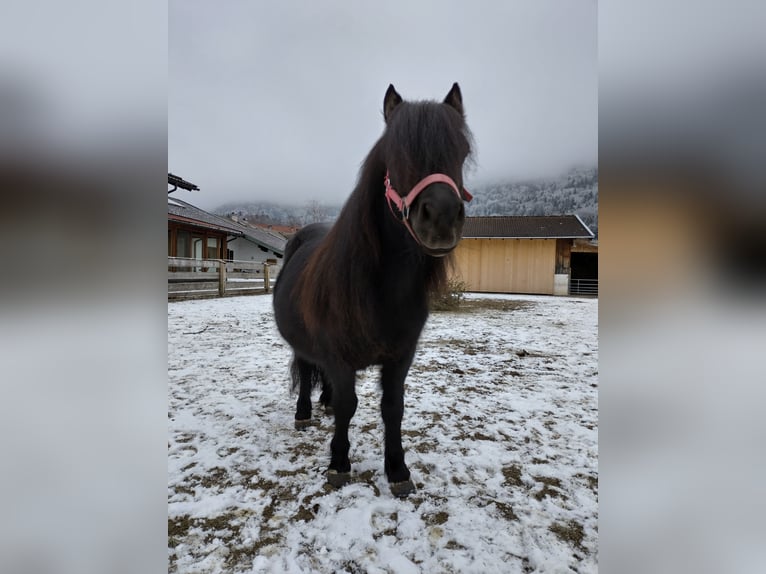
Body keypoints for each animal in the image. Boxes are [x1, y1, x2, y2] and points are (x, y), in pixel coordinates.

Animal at [272, 83, 472, 498]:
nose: (442, 219)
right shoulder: (339, 355)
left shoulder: (401, 356)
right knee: (306, 367)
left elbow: (392, 407)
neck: (382, 289)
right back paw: (304, 413)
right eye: (395, 153)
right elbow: (349, 405)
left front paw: (397, 470)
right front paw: (338, 463)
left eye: (462, 151)